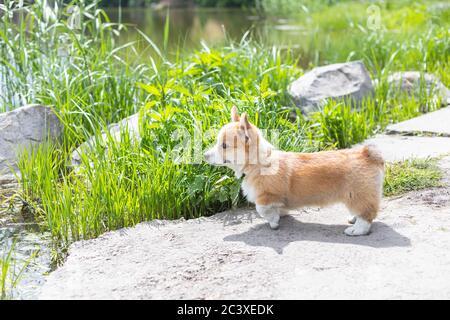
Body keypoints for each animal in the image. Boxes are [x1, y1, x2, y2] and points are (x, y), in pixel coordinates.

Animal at [204, 107, 384, 235]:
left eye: (224, 145)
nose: (204, 155)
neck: (258, 163)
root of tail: (367, 154)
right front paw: (278, 215)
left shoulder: (268, 196)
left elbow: (260, 209)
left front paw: (273, 221)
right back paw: (354, 218)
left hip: (356, 194)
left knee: (367, 215)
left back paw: (356, 230)